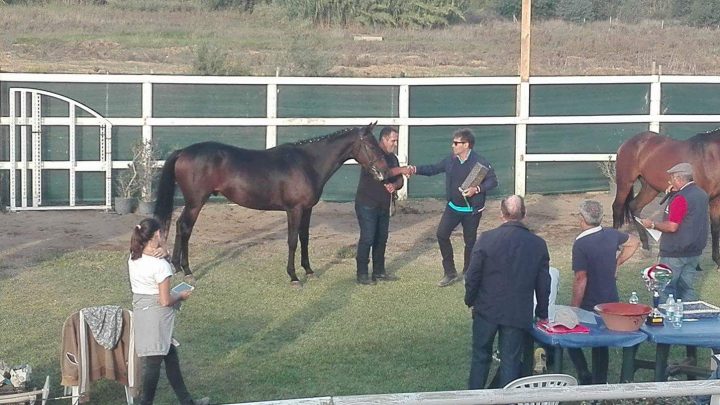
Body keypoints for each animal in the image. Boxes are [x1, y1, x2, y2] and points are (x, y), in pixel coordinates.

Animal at [153, 123, 391, 285]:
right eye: (371, 146)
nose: (385, 171)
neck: (308, 163)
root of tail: (183, 151)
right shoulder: (294, 210)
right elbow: (292, 241)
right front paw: (294, 276)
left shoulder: (307, 209)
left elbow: (304, 239)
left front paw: (309, 270)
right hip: (196, 202)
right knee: (185, 228)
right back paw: (188, 270)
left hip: (192, 203)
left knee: (179, 226)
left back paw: (177, 267)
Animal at [612, 129, 720, 267]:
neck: (710, 155)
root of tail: (628, 142)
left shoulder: (716, 200)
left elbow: (715, 228)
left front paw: (717, 260)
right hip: (625, 182)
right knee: (617, 207)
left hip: (650, 188)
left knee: (634, 206)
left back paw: (646, 247)